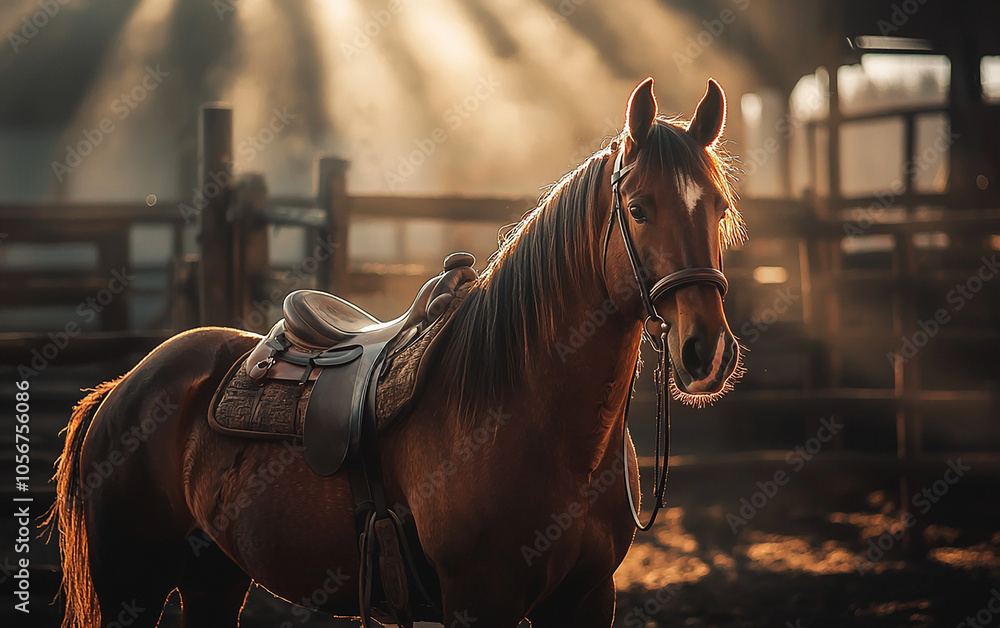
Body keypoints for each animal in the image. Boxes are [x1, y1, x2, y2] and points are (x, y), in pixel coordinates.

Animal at [46, 76, 746, 628]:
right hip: (132, 588)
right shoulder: (478, 600)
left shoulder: (585, 599)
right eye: (639, 208)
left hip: (213, 577)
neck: (531, 415)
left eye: (719, 206)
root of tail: (123, 387)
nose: (704, 351)